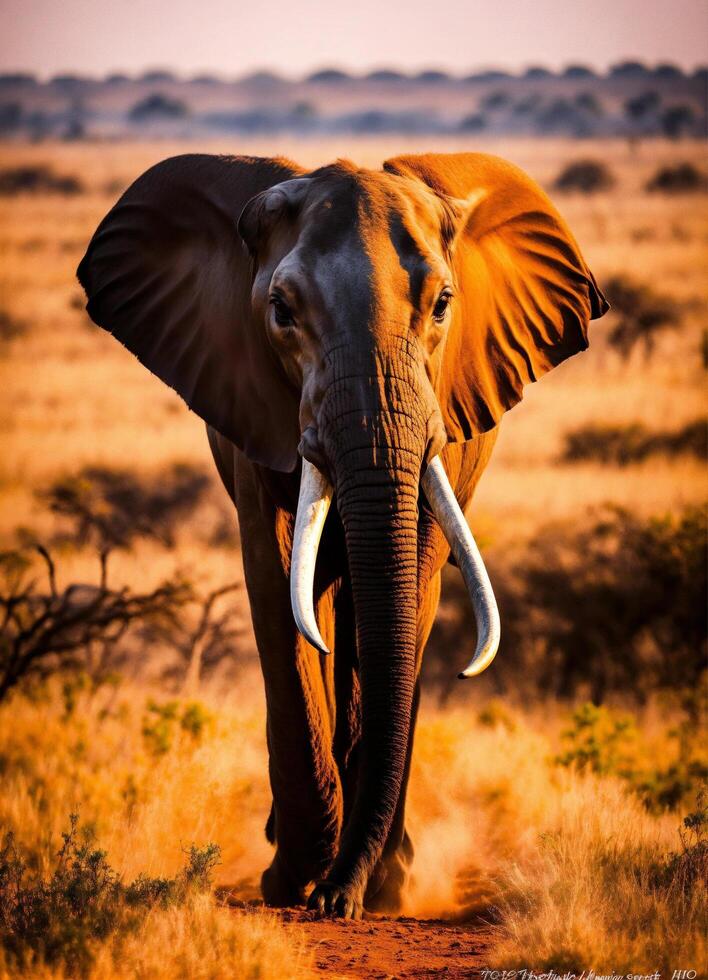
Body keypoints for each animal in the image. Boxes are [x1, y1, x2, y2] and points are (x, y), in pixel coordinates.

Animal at [79, 151, 608, 920]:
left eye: (443, 305)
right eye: (281, 312)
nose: (336, 900)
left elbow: (404, 587)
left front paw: (364, 889)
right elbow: (277, 583)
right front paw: (294, 881)